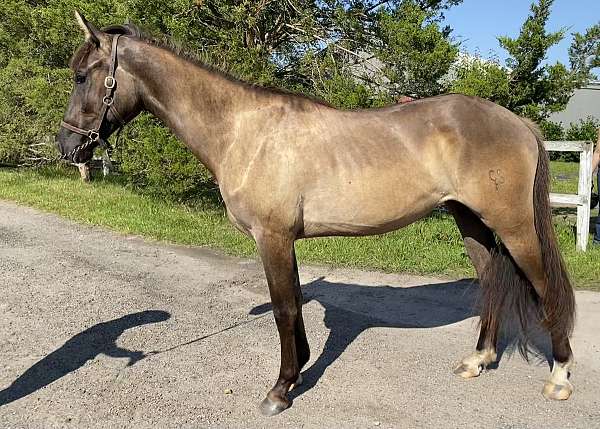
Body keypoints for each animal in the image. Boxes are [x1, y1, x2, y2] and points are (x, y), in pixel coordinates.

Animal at [56, 12, 576, 414]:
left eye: (82, 76)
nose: (66, 146)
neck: (241, 131)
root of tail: (519, 122)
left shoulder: (272, 237)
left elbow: (284, 308)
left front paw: (279, 390)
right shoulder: (283, 241)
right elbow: (294, 304)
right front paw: (296, 375)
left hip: (513, 226)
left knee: (546, 288)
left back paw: (559, 377)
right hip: (469, 221)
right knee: (492, 281)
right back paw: (478, 360)